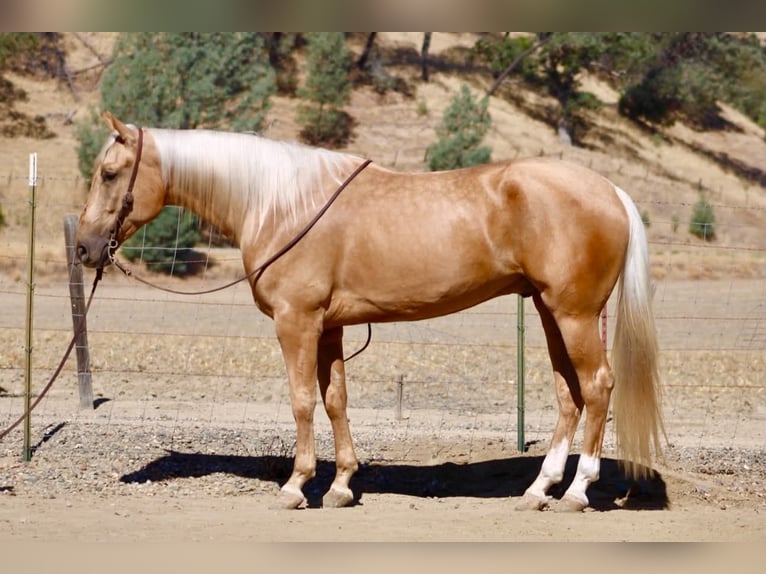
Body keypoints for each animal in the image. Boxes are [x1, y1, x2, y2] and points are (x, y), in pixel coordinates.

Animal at [76, 111, 664, 512]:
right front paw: (340, 486)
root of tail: (609, 189)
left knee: (597, 387)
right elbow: (335, 401)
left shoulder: (297, 323)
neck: (282, 203)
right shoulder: (329, 327)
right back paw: (539, 489)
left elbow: (302, 401)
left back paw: (578, 492)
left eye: (110, 173)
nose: (84, 248)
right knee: (569, 393)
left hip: (574, 314)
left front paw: (296, 485)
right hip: (549, 311)